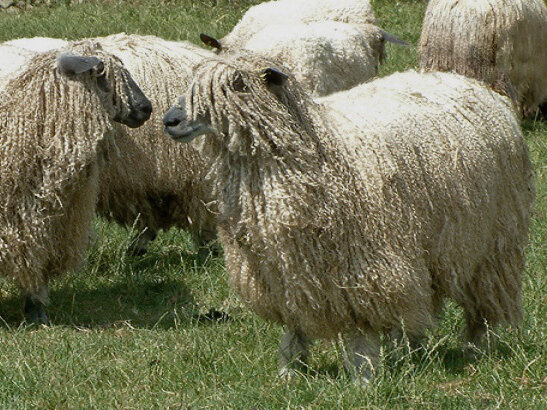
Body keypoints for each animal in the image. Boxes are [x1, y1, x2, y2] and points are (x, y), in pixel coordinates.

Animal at [163, 52, 536, 382]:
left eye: (238, 84)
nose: (170, 120)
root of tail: (474, 85)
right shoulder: (285, 272)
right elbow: (295, 324)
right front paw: (289, 370)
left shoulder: (361, 265)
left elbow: (361, 326)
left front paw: (363, 376)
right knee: (421, 302)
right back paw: (409, 350)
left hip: (493, 241)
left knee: (483, 300)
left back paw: (476, 346)